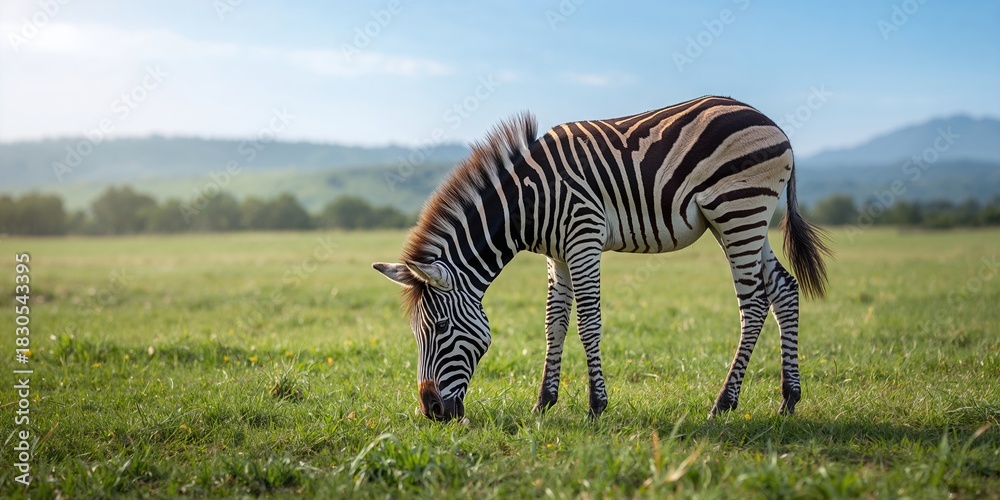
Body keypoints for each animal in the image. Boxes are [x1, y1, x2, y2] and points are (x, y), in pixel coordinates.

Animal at [373, 95, 830, 421]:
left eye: (440, 328)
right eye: (416, 332)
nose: (432, 412)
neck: (528, 201)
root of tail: (772, 124)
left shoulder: (584, 236)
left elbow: (588, 322)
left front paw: (596, 405)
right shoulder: (557, 254)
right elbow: (554, 323)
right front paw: (544, 402)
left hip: (739, 210)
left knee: (753, 303)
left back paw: (723, 403)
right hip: (744, 220)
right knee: (784, 290)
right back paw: (789, 399)